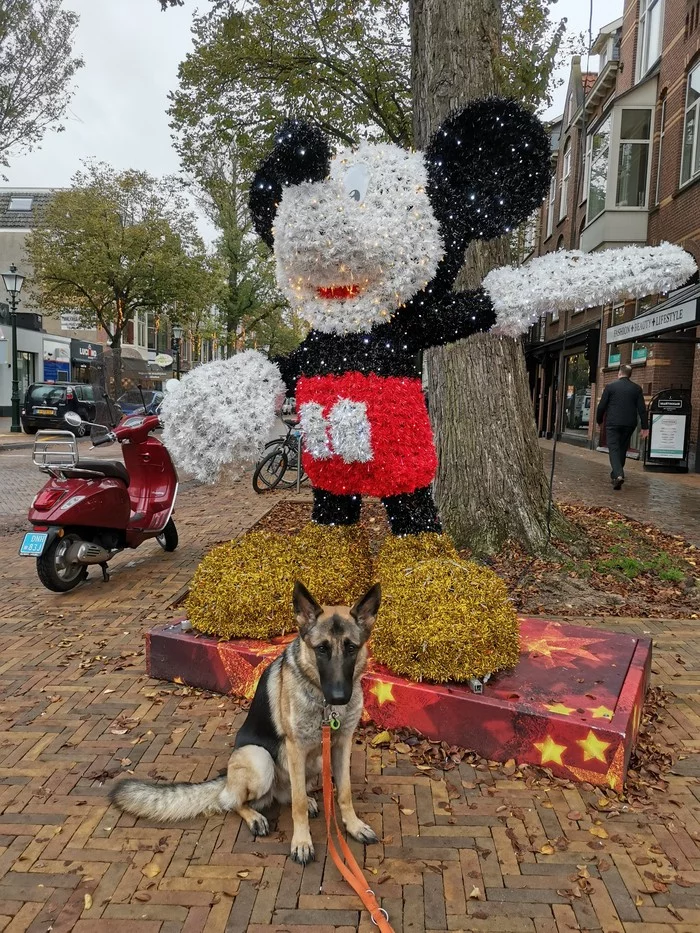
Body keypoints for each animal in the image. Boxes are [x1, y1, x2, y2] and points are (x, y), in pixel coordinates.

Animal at [110, 580, 382, 864]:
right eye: (321, 649)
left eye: (351, 648)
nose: (339, 696)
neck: (324, 704)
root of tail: (227, 778)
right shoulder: (296, 749)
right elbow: (296, 805)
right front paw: (302, 841)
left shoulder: (341, 746)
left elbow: (344, 792)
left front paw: (353, 826)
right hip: (260, 760)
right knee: (234, 802)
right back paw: (255, 817)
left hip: (317, 761)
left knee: (288, 794)